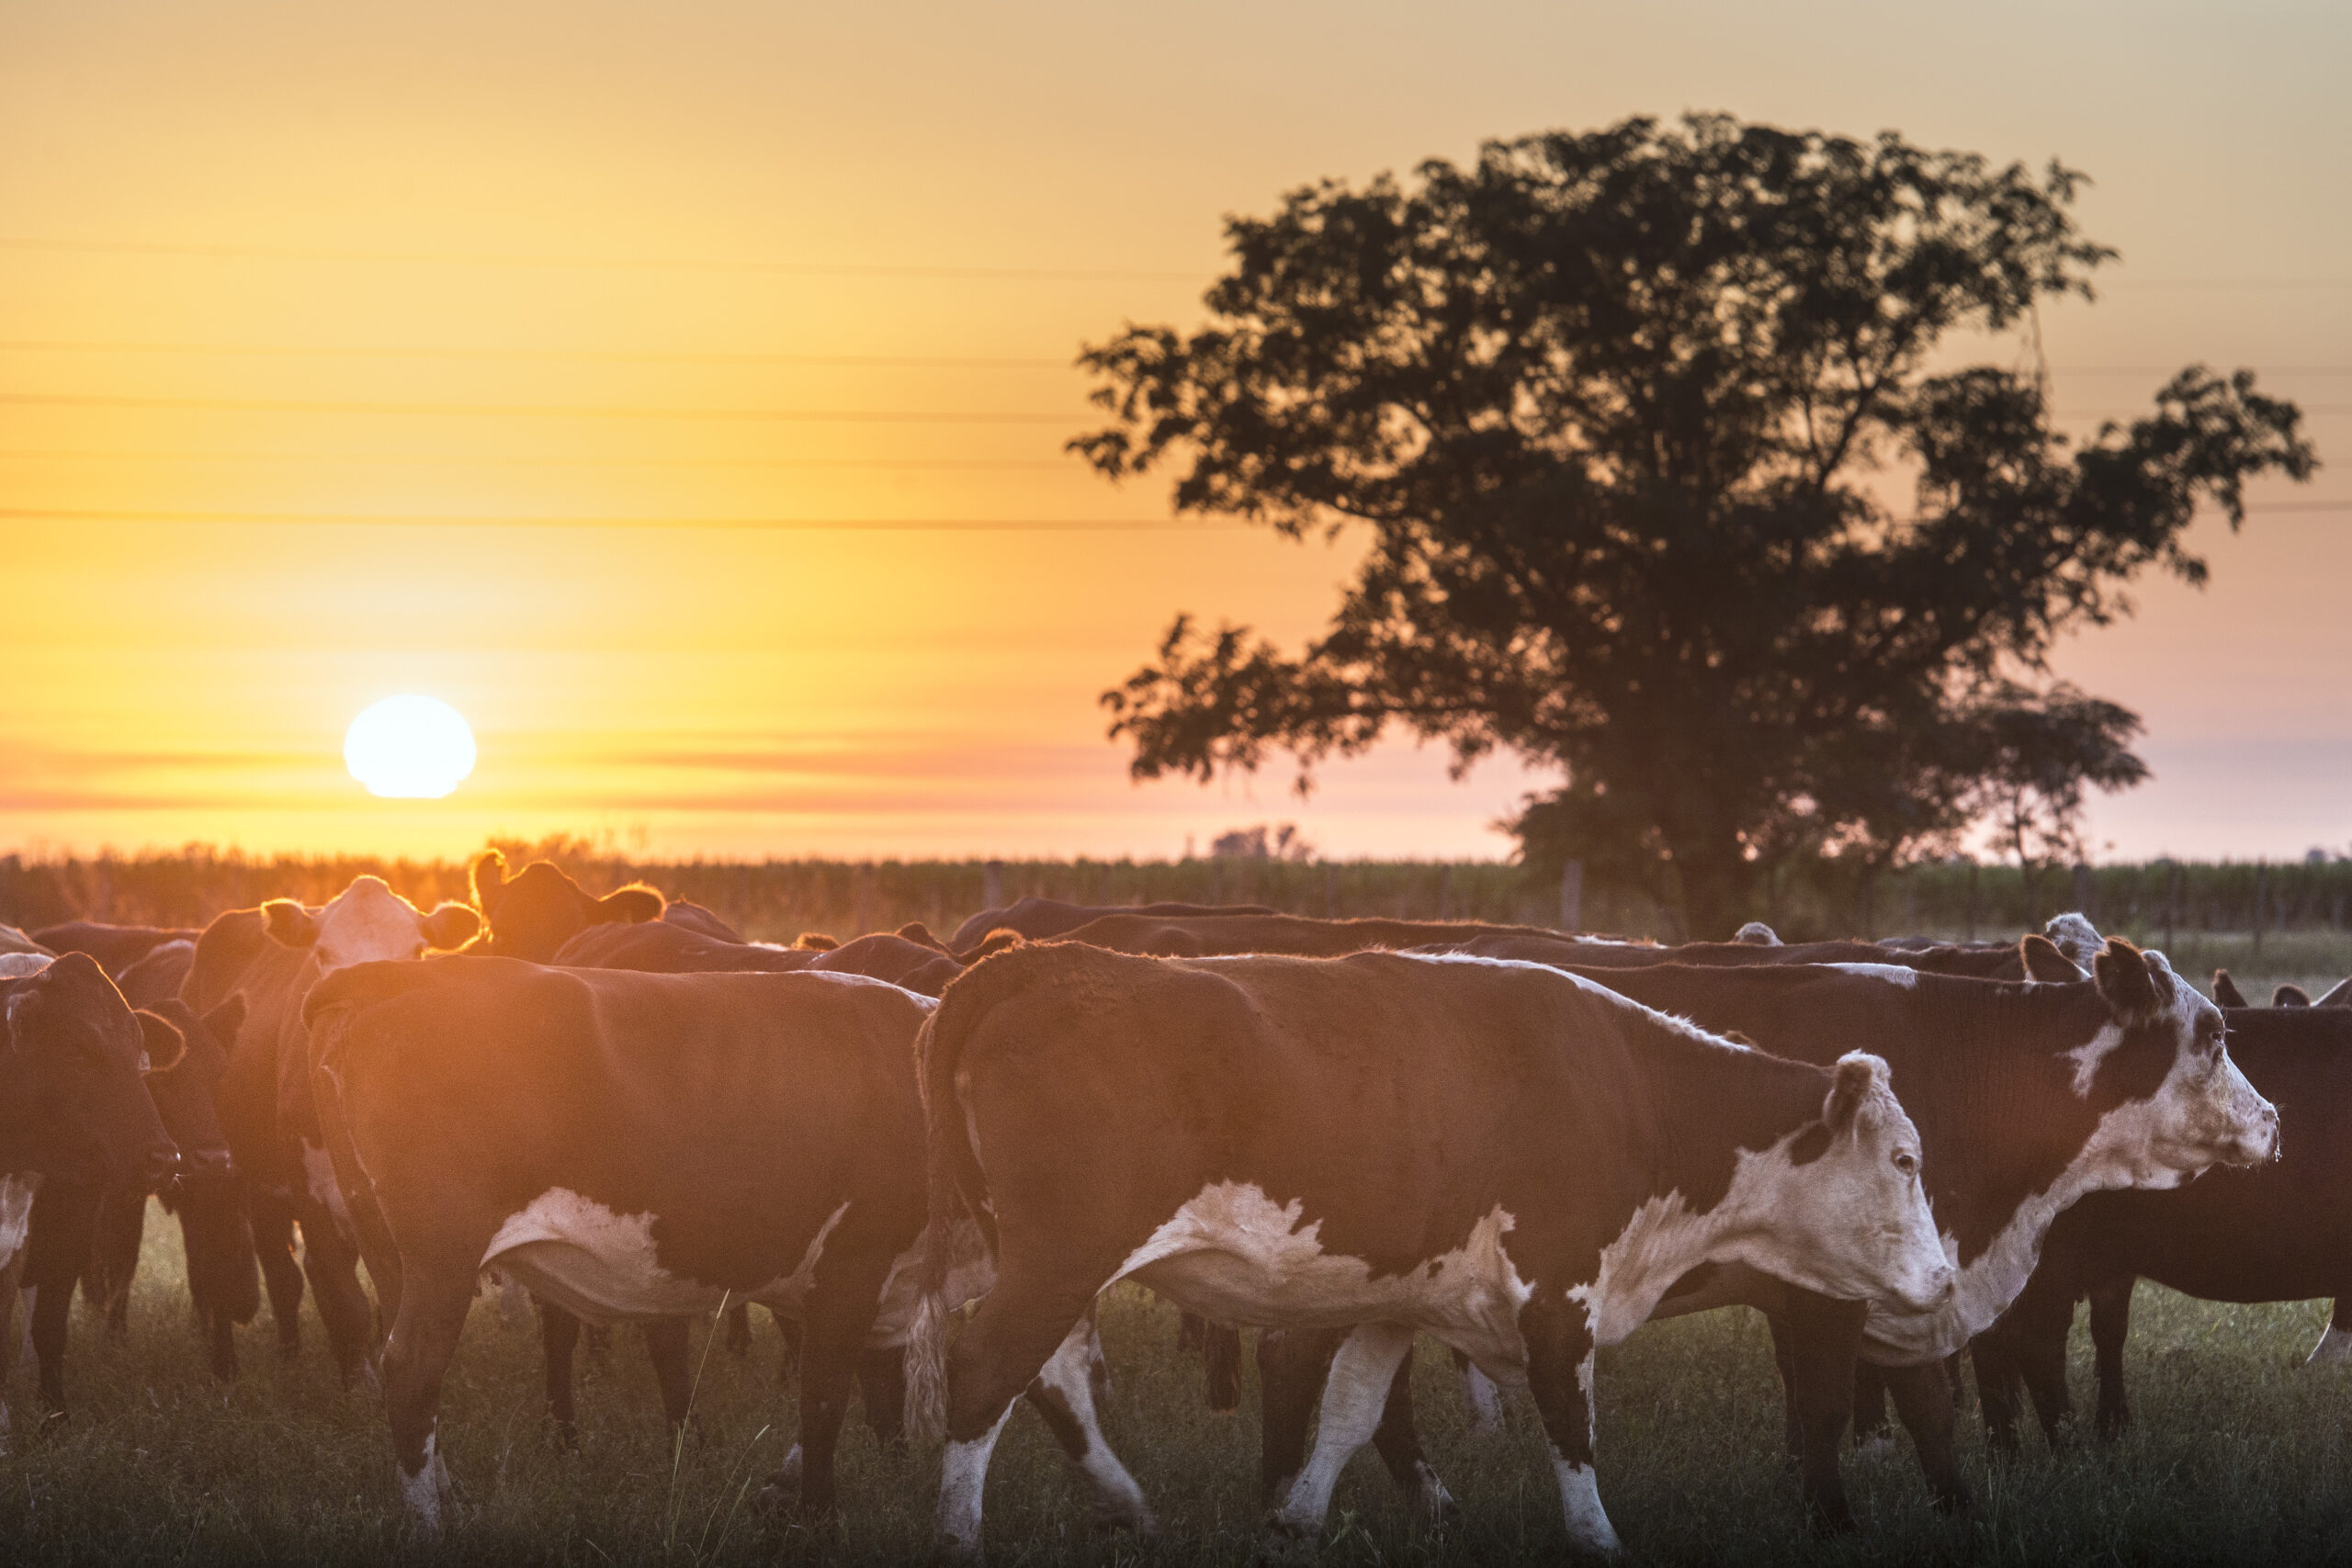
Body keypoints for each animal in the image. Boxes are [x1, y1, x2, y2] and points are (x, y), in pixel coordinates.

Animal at [898, 940, 1947, 1561]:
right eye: (1904, 1158)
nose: (1941, 1278)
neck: (1636, 1096)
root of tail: (1039, 961)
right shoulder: (1559, 1292)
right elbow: (1570, 1423)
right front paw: (1598, 1538)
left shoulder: (1404, 1298)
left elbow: (1353, 1409)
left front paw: (1299, 1516)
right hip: (1060, 1256)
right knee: (987, 1371)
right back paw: (959, 1538)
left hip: (1045, 1260)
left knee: (1054, 1377)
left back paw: (1126, 1504)